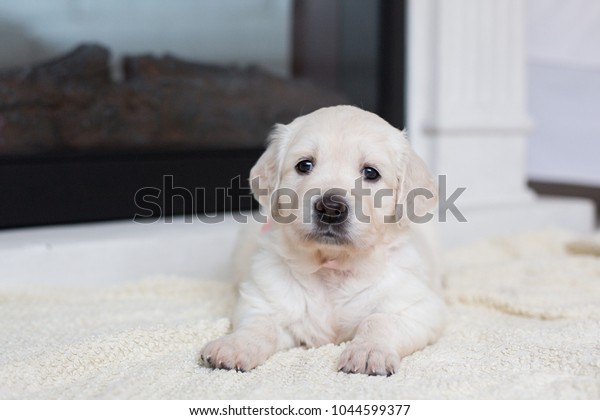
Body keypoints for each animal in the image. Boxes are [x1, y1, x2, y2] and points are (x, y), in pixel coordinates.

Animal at [202, 106, 446, 378]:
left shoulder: (417, 307)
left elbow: (379, 320)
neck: (332, 266)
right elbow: (259, 325)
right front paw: (234, 346)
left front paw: (368, 351)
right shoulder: (264, 301)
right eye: (304, 165)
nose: (330, 208)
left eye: (370, 173)